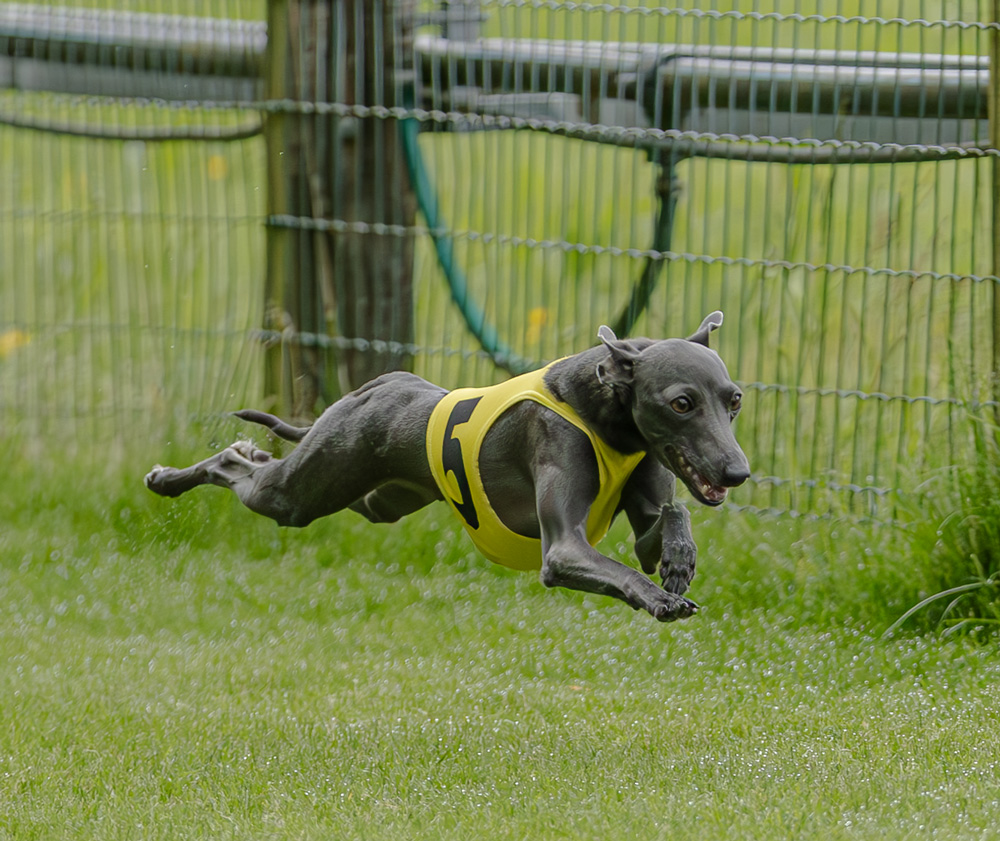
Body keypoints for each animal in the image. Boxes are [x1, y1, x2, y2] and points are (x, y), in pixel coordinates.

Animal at [145, 312, 748, 620]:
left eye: (734, 399)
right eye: (681, 403)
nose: (738, 473)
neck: (601, 411)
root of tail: (379, 385)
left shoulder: (646, 503)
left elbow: (666, 520)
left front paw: (678, 561)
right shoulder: (564, 550)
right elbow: (612, 567)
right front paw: (659, 598)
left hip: (379, 497)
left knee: (275, 465)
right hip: (301, 493)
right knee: (238, 466)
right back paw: (168, 479)